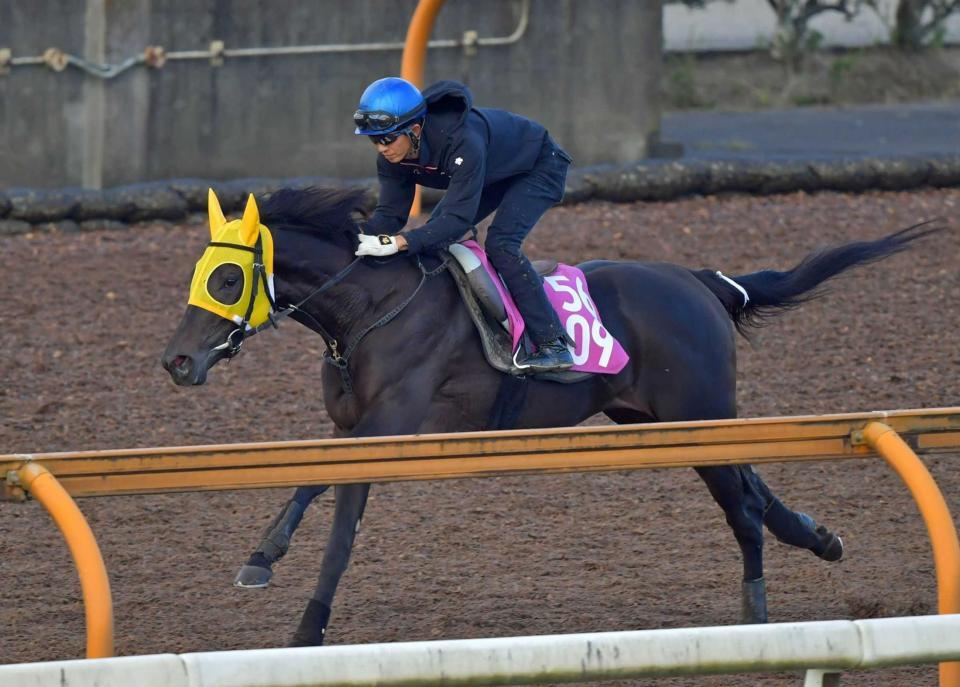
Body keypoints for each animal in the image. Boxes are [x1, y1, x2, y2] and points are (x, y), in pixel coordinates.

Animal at [161, 185, 932, 648]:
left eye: (226, 278)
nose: (176, 360)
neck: (370, 309)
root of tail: (700, 280)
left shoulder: (389, 427)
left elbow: (330, 515)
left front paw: (294, 611)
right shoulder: (351, 427)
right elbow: (313, 488)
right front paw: (269, 567)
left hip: (697, 412)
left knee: (740, 502)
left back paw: (756, 613)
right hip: (655, 419)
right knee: (752, 486)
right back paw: (818, 539)